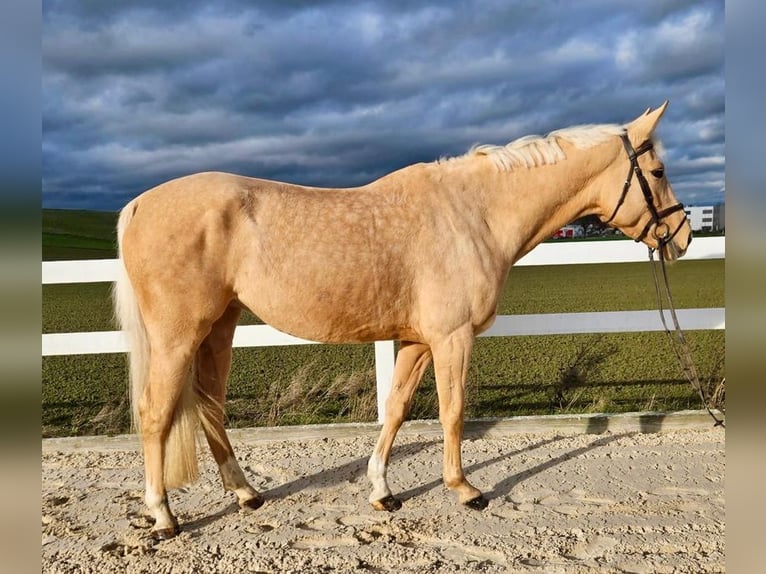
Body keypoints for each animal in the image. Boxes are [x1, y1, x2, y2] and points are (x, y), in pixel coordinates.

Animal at [115, 102, 696, 540]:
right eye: (659, 172)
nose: (683, 238)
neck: (474, 214)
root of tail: (138, 204)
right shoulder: (452, 338)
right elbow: (452, 412)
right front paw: (465, 490)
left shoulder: (417, 341)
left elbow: (394, 411)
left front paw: (382, 492)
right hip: (176, 337)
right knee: (155, 414)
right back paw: (164, 517)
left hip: (220, 327)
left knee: (210, 408)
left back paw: (246, 495)